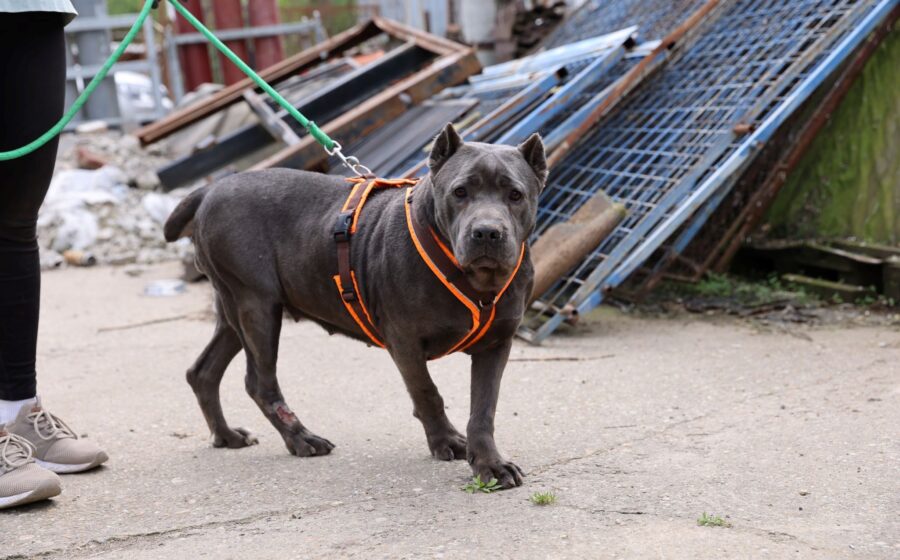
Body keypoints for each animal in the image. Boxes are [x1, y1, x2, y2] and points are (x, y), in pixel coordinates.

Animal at [164, 124, 547, 488]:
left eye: (515, 195)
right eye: (460, 192)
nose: (487, 232)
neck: (474, 279)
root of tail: (210, 190)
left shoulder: (496, 344)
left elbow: (483, 409)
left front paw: (490, 464)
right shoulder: (405, 342)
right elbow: (427, 392)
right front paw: (446, 442)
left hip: (234, 310)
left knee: (203, 371)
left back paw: (226, 436)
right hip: (256, 305)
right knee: (260, 383)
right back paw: (301, 439)